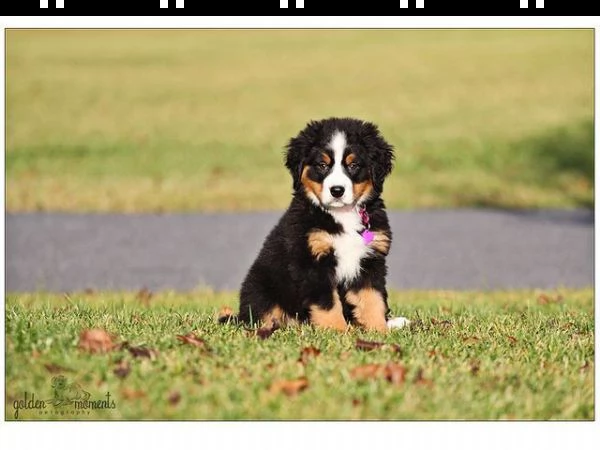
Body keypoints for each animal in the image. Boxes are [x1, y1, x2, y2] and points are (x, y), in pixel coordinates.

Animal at [234, 118, 398, 332]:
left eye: (353, 165)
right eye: (322, 165)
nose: (337, 190)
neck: (341, 215)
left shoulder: (370, 261)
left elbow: (372, 300)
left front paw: (379, 330)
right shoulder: (312, 262)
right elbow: (328, 304)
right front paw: (338, 331)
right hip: (262, 287)